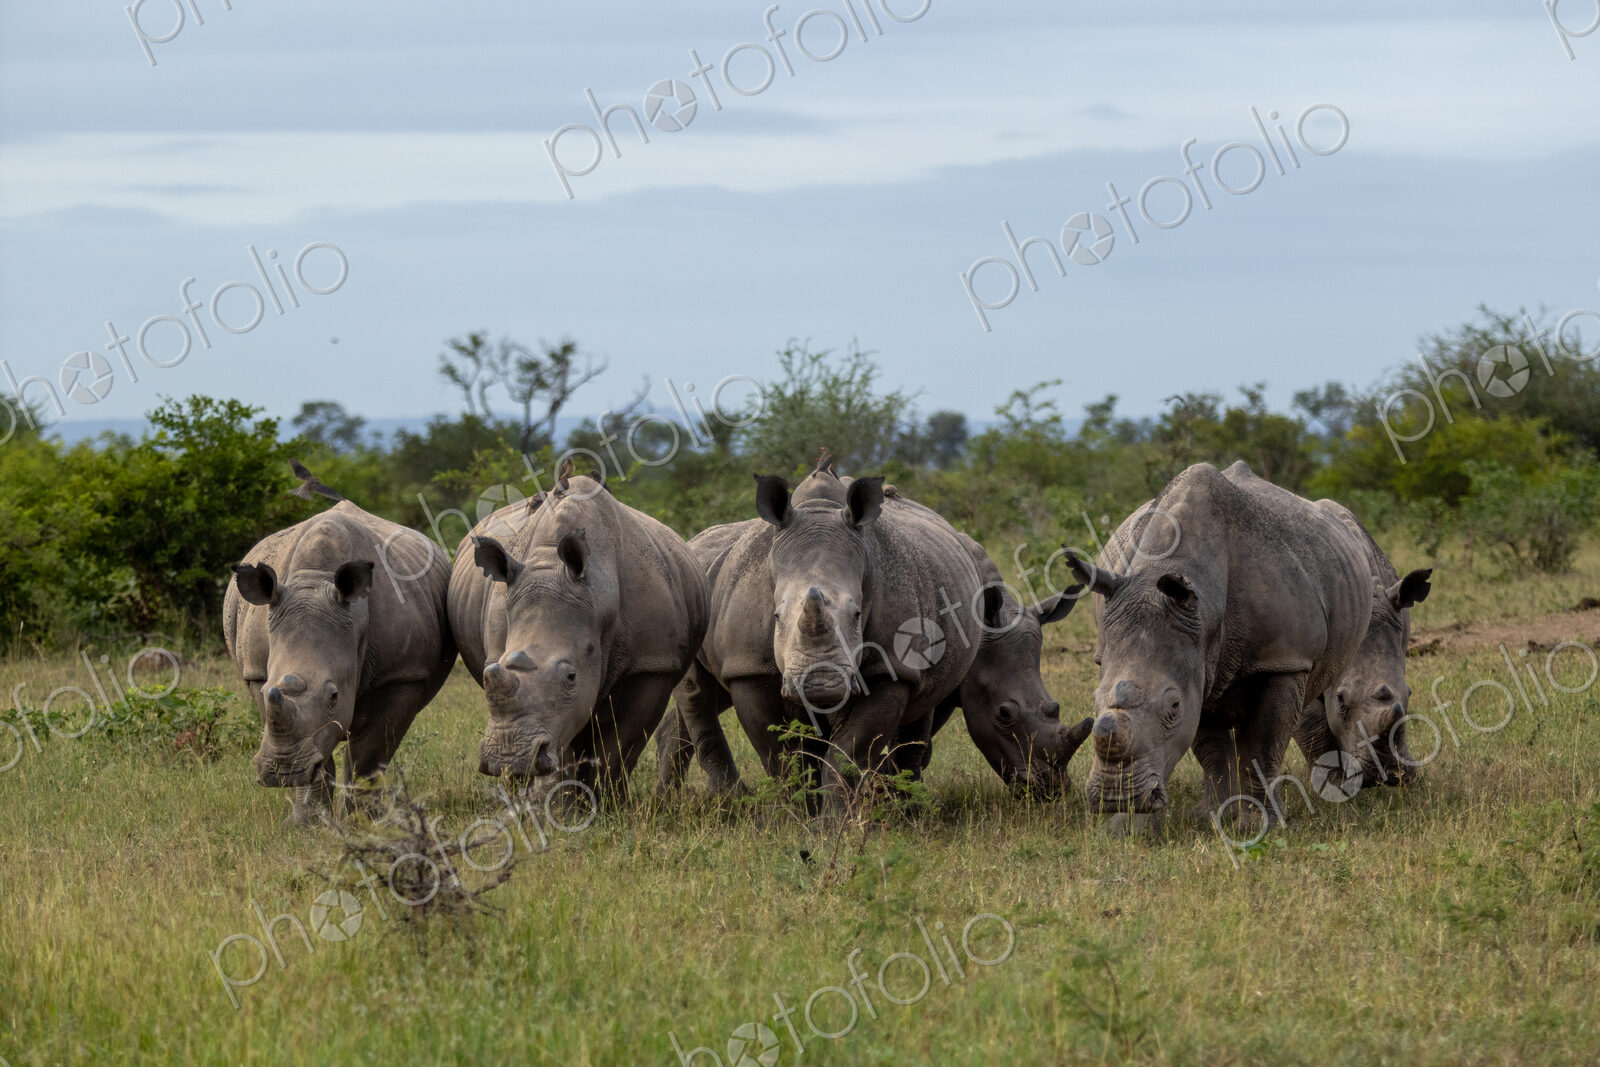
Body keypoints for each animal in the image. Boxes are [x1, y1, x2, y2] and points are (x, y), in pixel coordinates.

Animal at [224, 462, 456, 825]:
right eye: (266, 689)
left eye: (334, 696)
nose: (281, 773)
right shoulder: (257, 673)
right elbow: (314, 749)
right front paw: (307, 823)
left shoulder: (402, 674)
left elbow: (369, 752)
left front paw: (366, 822)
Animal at [448, 472, 708, 802]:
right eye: (487, 675)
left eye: (571, 676)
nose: (509, 757)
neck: (598, 599)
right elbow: (564, 741)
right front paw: (562, 804)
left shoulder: (652, 665)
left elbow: (618, 746)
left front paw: (608, 805)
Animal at [1067, 461, 1371, 828]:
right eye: (1093, 699)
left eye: (1173, 706)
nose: (1115, 799)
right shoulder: (1197, 662)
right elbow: (1210, 748)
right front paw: (1213, 816)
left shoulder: (1283, 659)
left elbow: (1262, 744)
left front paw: (1258, 825)